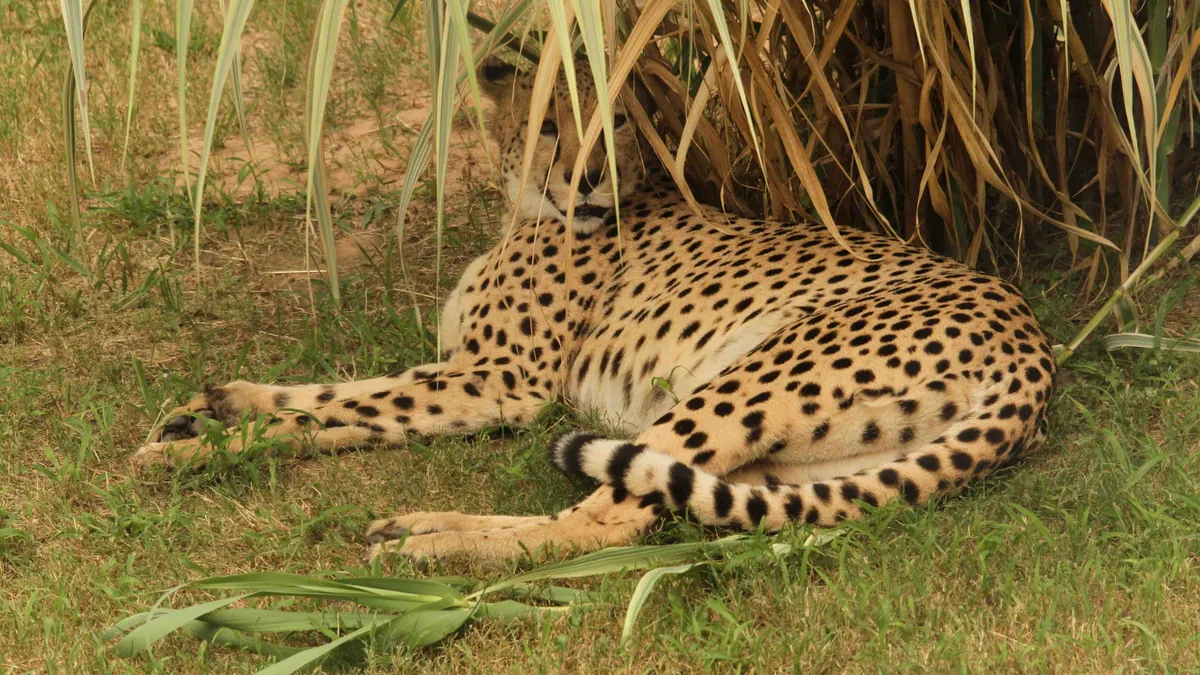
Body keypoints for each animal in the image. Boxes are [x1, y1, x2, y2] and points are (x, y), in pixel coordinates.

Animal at [132, 57, 1057, 567]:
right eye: (548, 123)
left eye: (617, 123)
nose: (586, 177)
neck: (528, 209)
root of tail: (1035, 348)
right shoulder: (465, 367)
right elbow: (341, 394)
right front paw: (212, 407)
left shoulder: (501, 382)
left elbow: (349, 408)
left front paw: (199, 448)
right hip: (797, 469)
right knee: (659, 504)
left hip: (744, 377)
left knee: (604, 521)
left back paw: (430, 541)